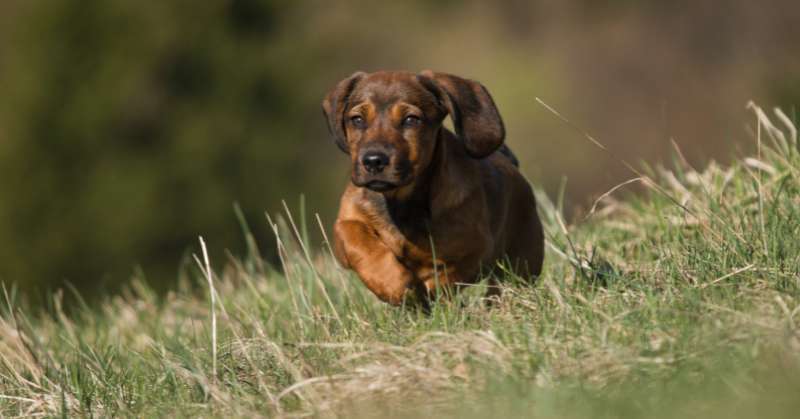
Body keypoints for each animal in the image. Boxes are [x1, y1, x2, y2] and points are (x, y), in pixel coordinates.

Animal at [322, 70, 544, 306]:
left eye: (411, 120)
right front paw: (391, 282)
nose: (373, 161)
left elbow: (444, 276)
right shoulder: (345, 223)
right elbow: (356, 239)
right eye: (357, 120)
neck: (401, 202)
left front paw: (422, 286)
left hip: (520, 264)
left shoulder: (477, 249)